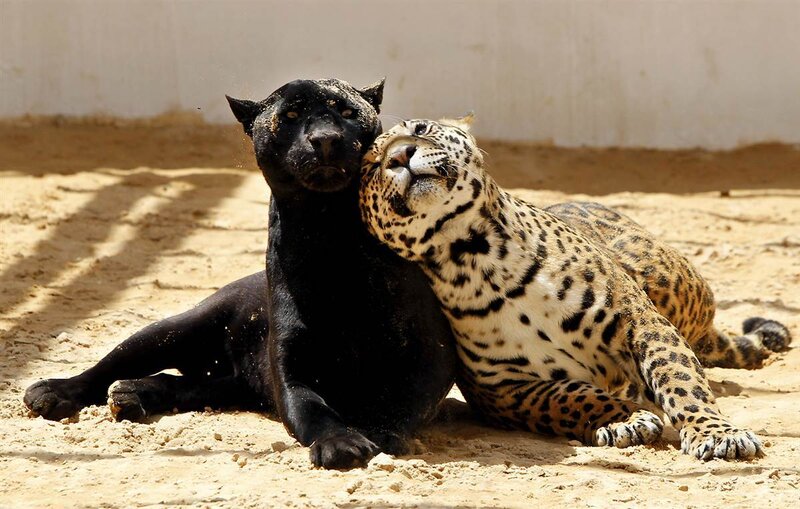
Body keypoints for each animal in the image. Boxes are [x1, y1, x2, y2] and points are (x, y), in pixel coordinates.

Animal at [359, 115, 792, 461]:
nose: (402, 155)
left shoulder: (643, 323)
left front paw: (716, 434)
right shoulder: (505, 390)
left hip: (669, 282)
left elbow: (680, 379)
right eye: (371, 164)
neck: (474, 254)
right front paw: (625, 419)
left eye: (420, 129)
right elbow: (572, 399)